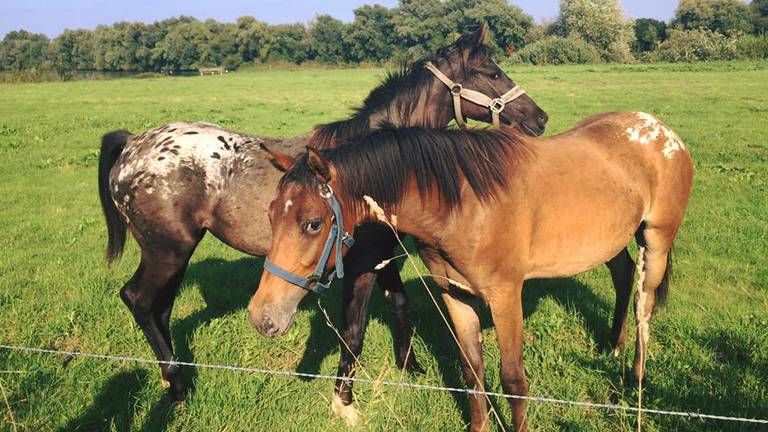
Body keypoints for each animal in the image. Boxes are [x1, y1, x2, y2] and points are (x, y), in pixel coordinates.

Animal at [99, 25, 548, 404]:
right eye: (491, 72)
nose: (540, 118)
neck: (376, 167)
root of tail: (133, 145)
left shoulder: (384, 257)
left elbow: (400, 305)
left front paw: (411, 367)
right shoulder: (363, 264)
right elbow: (354, 329)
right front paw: (345, 396)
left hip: (174, 257)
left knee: (160, 308)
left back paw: (175, 374)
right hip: (168, 251)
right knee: (138, 300)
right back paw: (176, 385)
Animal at [254, 113, 696, 430]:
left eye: (312, 224)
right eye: (271, 214)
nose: (263, 317)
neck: (463, 203)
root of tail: (660, 130)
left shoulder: (506, 297)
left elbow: (513, 381)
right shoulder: (456, 294)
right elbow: (473, 372)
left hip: (655, 242)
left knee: (644, 307)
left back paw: (636, 378)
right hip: (610, 242)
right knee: (622, 275)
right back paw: (612, 346)